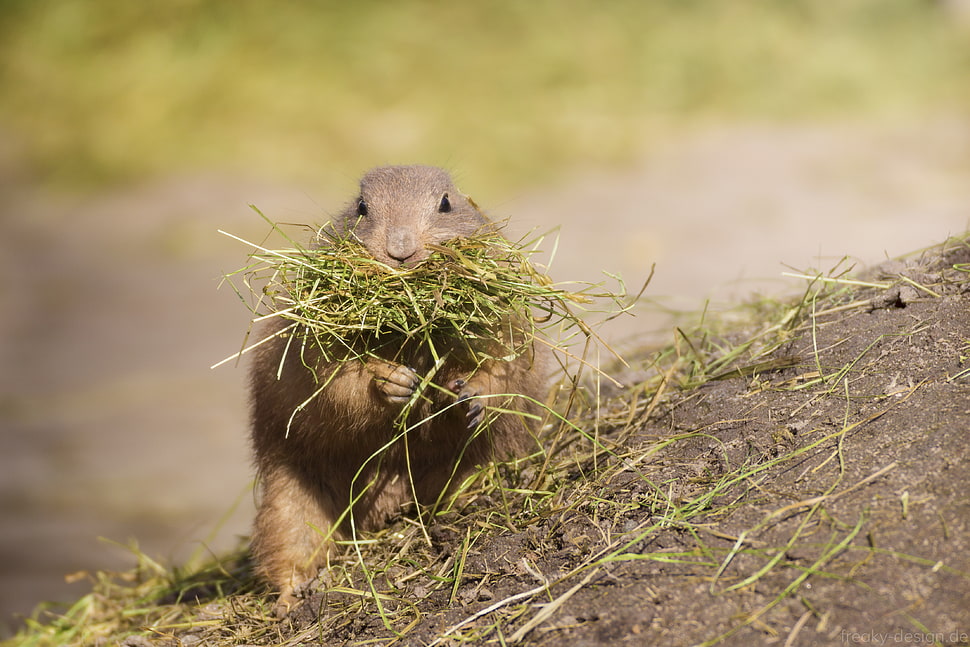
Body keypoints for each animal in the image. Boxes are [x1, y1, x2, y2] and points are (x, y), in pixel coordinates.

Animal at [247, 165, 547, 614]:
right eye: (361, 207)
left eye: (446, 203)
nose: (400, 249)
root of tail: (385, 510)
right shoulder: (308, 340)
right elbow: (332, 379)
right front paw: (392, 381)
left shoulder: (504, 319)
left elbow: (500, 365)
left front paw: (466, 395)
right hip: (288, 497)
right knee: (289, 547)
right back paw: (292, 596)